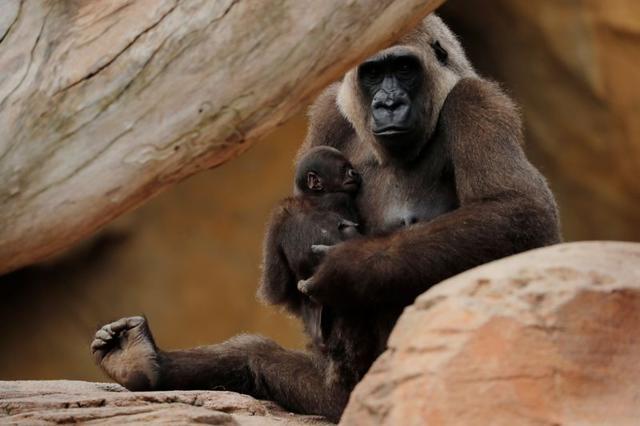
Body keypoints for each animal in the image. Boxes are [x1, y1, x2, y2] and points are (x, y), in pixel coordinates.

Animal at [259, 145, 362, 347]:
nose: (354, 173)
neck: (310, 196)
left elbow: (275, 287)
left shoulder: (276, 216)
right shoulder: (342, 198)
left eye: (350, 167)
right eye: (344, 168)